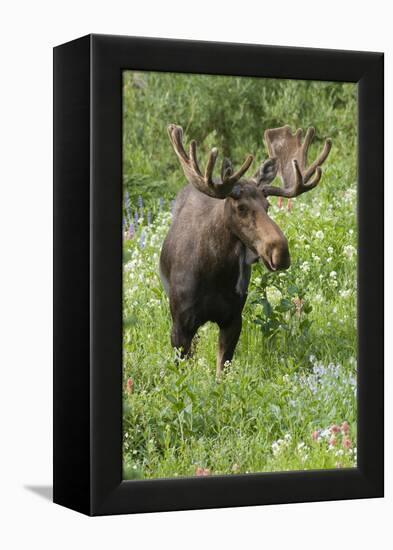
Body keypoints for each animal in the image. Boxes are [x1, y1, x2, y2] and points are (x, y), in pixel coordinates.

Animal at [159, 124, 330, 380]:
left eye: (267, 206)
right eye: (241, 208)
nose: (281, 252)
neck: (215, 274)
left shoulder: (233, 319)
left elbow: (222, 372)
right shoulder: (180, 324)